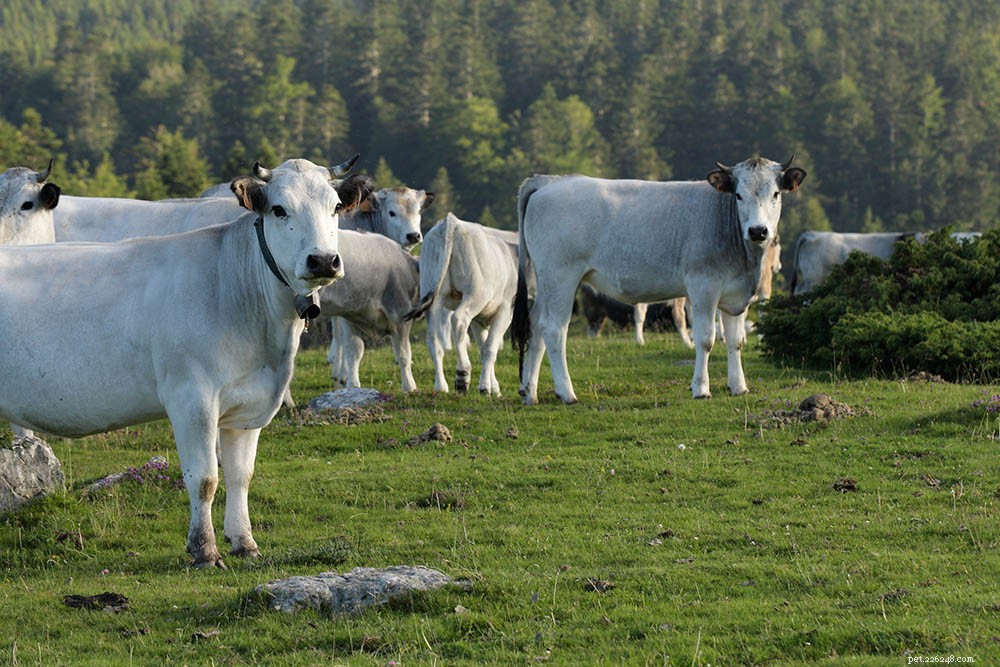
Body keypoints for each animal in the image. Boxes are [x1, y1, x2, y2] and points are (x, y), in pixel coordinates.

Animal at [0, 158, 370, 568]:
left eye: (335, 207)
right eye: (278, 209)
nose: (323, 260)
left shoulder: (248, 405)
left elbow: (241, 475)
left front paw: (245, 542)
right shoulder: (192, 398)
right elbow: (205, 478)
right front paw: (204, 550)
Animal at [404, 213, 520, 395]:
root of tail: (452, 222)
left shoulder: (479, 319)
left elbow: (484, 349)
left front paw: (493, 386)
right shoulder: (505, 311)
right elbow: (490, 348)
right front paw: (486, 387)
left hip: (434, 293)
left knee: (433, 337)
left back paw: (441, 386)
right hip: (475, 294)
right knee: (458, 320)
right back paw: (462, 373)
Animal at [512, 156, 806, 404]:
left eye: (776, 194)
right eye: (738, 195)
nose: (758, 230)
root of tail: (550, 181)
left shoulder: (735, 296)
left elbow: (736, 341)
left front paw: (739, 387)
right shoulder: (703, 287)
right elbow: (706, 339)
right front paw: (701, 388)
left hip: (545, 281)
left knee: (536, 327)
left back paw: (530, 391)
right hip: (561, 277)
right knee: (554, 330)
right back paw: (566, 392)